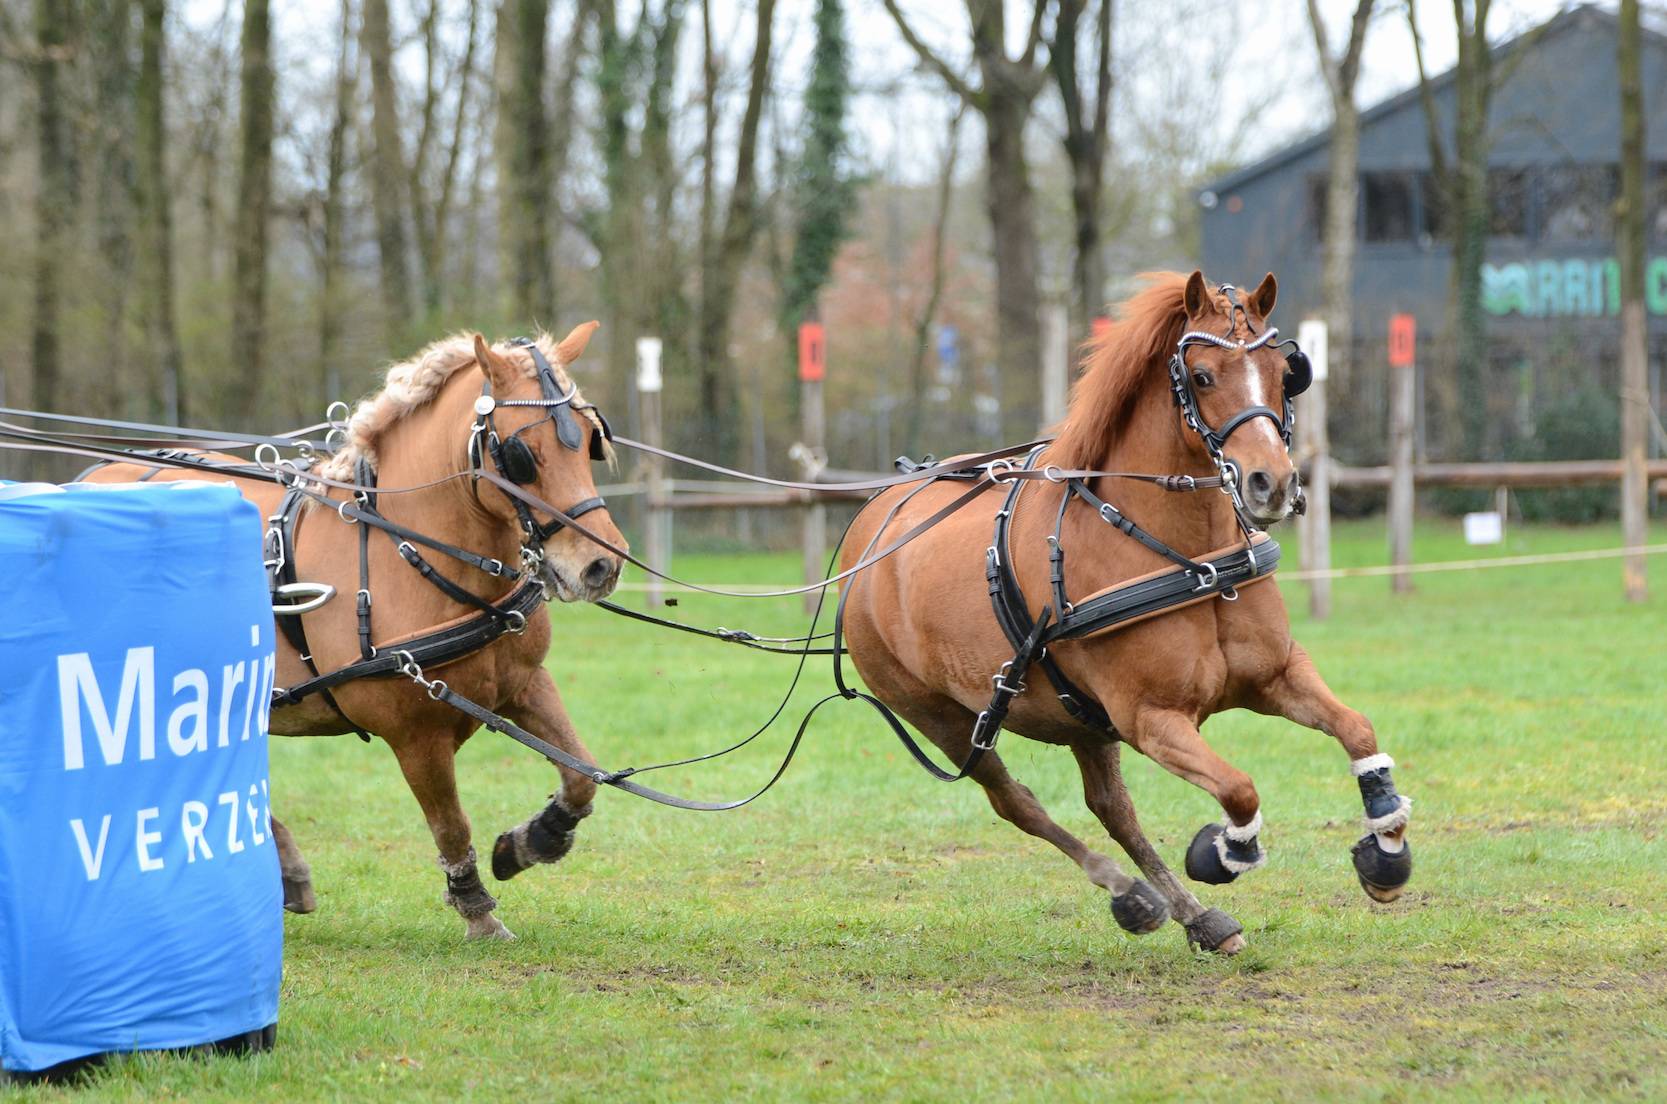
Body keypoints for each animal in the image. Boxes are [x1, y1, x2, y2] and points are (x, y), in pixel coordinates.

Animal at [83, 325, 625, 940]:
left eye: (590, 440)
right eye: (519, 454)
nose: (600, 566)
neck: (414, 553)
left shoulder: (525, 683)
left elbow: (581, 776)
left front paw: (532, 840)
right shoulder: (414, 733)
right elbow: (450, 824)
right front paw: (477, 911)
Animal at [838, 271, 1413, 954]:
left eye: (1285, 371)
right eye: (1202, 376)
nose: (1272, 484)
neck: (1193, 563)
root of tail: (874, 521)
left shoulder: (1277, 676)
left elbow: (1357, 729)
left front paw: (1387, 847)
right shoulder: (1151, 720)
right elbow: (1239, 788)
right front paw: (1224, 852)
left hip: (1080, 716)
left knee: (1111, 807)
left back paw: (1197, 916)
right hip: (940, 717)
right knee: (1017, 803)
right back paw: (1130, 893)